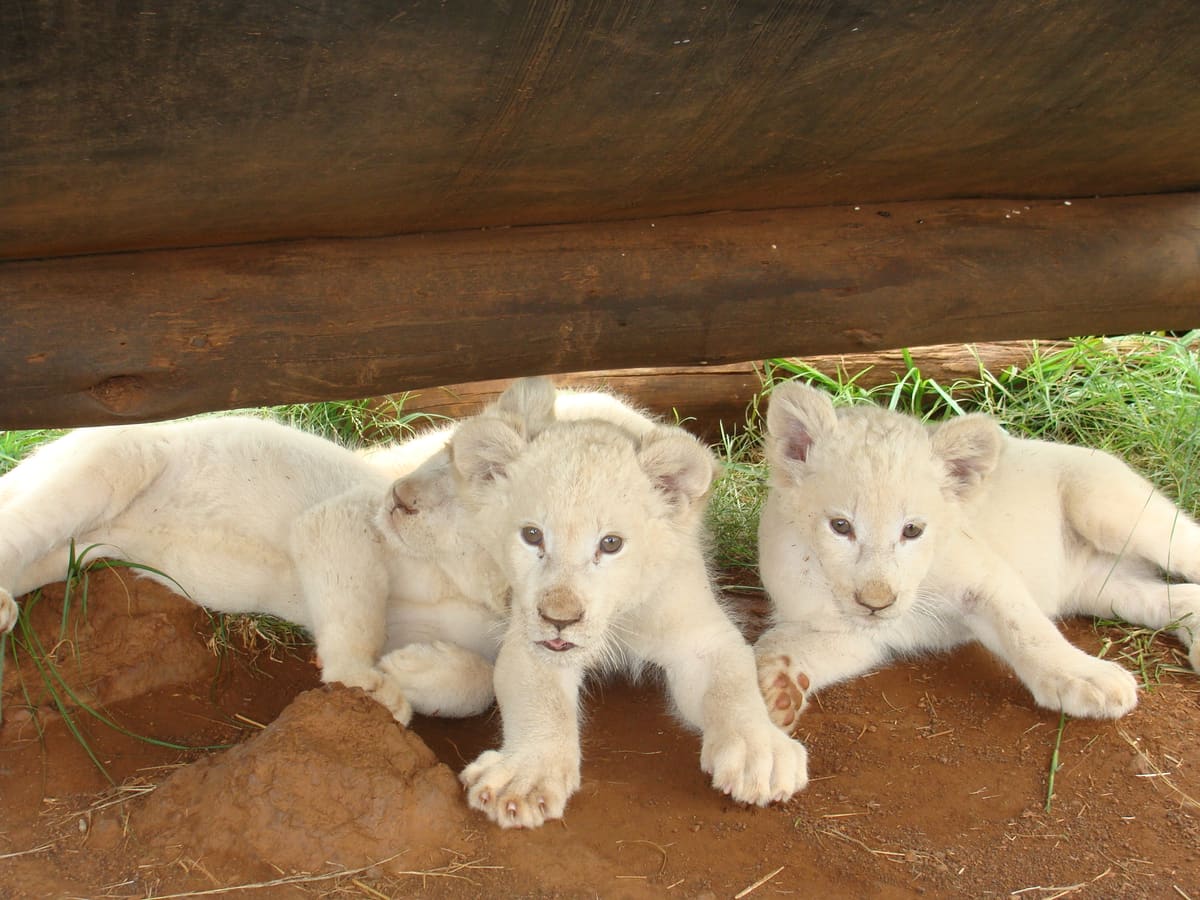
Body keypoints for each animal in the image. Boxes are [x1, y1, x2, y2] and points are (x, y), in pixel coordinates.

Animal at [754, 380, 1200, 731]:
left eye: (912, 530)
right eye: (840, 526)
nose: (876, 603)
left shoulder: (985, 578)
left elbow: (1029, 632)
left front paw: (1088, 680)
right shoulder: (850, 634)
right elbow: (775, 645)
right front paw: (776, 689)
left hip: (1106, 507)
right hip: (1104, 587)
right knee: (1174, 597)